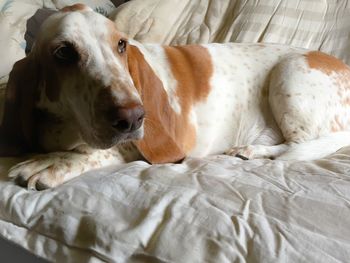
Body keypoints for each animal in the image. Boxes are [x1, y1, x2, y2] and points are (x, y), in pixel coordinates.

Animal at [0, 3, 350, 190]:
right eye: (63, 53)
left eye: (121, 45)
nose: (133, 118)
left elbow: (101, 152)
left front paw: (53, 164)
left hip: (288, 73)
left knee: (298, 145)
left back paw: (253, 150)